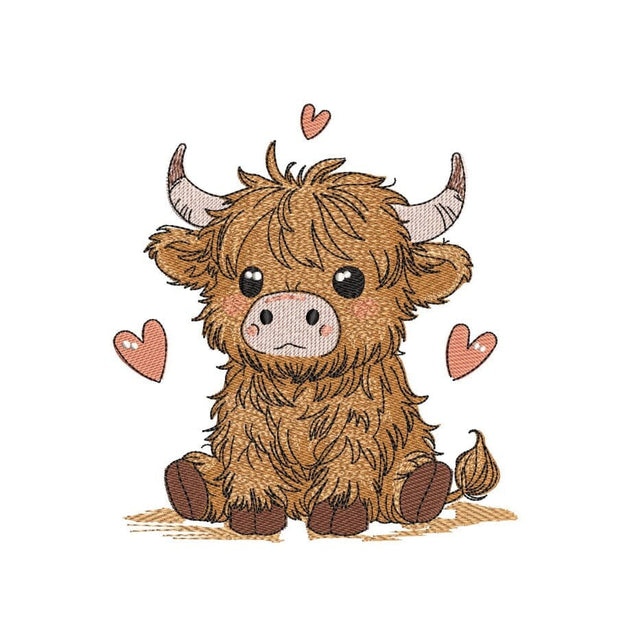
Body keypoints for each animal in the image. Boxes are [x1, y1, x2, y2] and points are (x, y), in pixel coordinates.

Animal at [146, 142, 499, 536]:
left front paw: (340, 509)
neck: (301, 384)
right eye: (249, 278)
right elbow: (248, 458)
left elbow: (352, 457)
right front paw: (254, 509)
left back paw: (422, 488)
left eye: (350, 279)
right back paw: (189, 482)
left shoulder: (361, 421)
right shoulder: (245, 420)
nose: (288, 310)